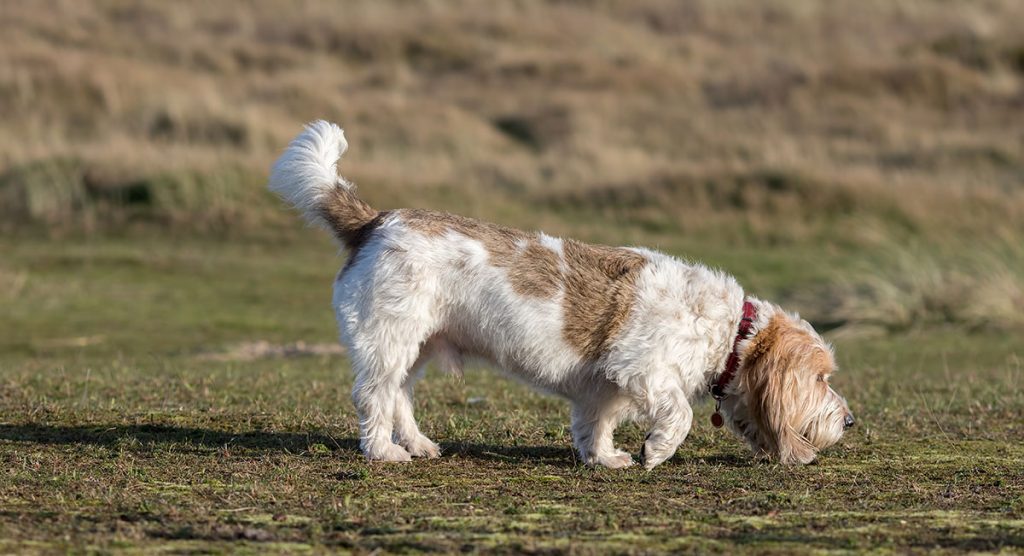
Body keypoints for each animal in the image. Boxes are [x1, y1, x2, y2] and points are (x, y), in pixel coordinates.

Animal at [268, 120, 851, 471]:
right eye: (821, 378)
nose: (849, 421)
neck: (731, 332)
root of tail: (374, 221)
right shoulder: (644, 368)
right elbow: (678, 414)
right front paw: (656, 451)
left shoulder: (605, 385)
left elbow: (597, 423)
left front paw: (605, 458)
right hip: (388, 342)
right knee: (374, 397)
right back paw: (384, 452)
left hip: (416, 347)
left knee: (399, 398)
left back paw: (416, 443)